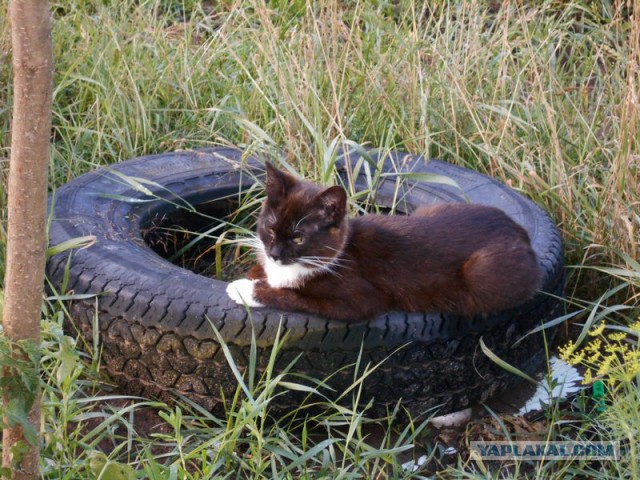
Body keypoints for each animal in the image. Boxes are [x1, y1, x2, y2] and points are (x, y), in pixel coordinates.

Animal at [228, 161, 544, 322]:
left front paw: (245, 289)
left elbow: (293, 296)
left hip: (484, 272)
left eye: (298, 237)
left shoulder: (361, 297)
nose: (274, 253)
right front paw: (254, 274)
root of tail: (519, 229)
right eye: (270, 228)